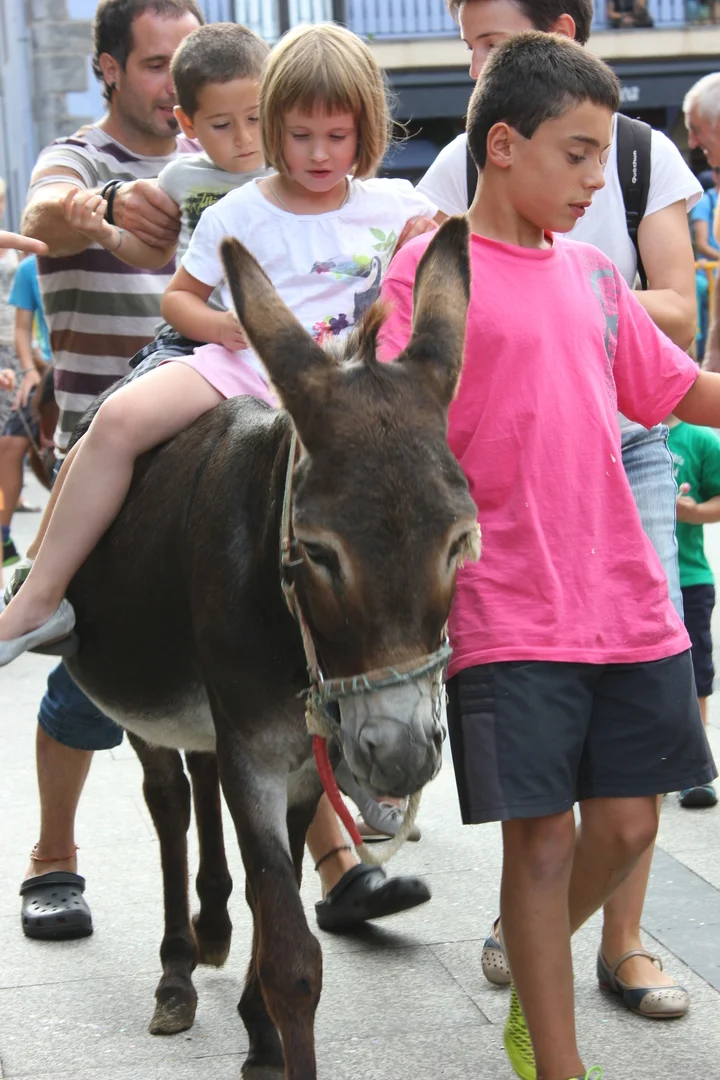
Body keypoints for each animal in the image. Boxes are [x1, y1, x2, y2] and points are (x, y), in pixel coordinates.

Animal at [63, 215, 477, 1079]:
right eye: (316, 551)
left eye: (461, 540)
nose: (400, 755)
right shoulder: (255, 747)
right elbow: (293, 955)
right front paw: (272, 1032)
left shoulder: (304, 759)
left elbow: (270, 895)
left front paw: (258, 1031)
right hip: (145, 708)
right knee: (169, 801)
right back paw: (178, 969)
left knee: (201, 781)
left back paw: (214, 928)